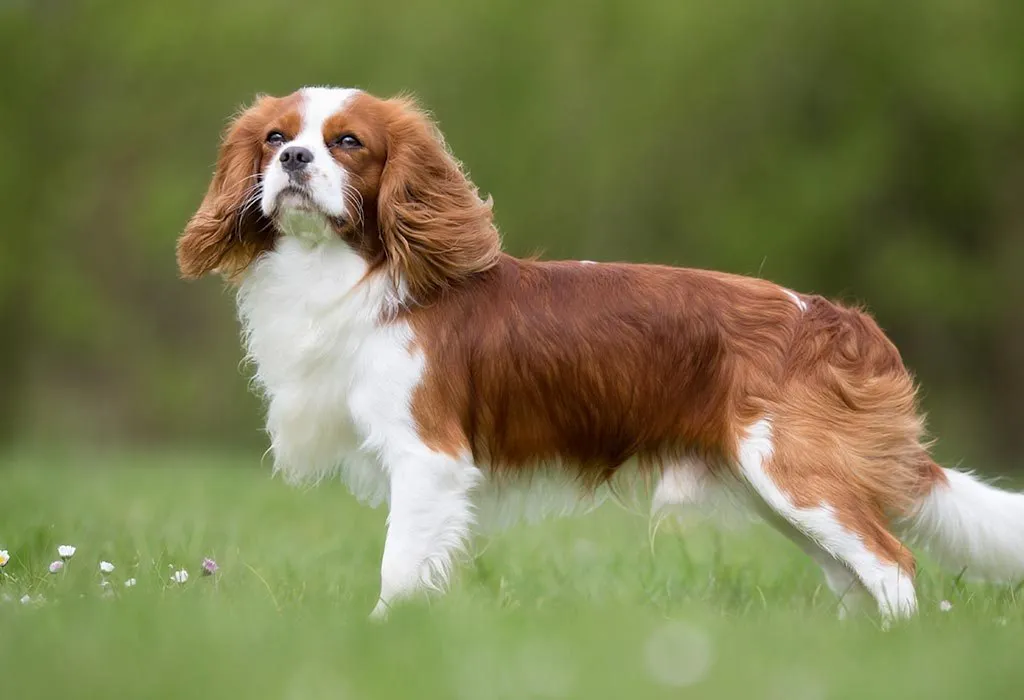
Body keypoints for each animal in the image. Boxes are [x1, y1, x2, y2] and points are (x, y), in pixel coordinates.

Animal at [178, 85, 1024, 618]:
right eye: (276, 138)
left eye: (347, 143)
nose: (293, 161)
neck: (350, 270)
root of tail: (840, 322)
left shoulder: (429, 459)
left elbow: (398, 567)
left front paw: (383, 636)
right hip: (782, 493)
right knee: (856, 580)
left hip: (797, 475)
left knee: (893, 566)